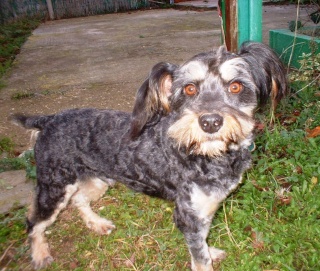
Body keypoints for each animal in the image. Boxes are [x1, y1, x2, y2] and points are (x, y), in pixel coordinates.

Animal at [11, 42, 288, 271]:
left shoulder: (205, 209)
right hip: (54, 186)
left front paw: (210, 250)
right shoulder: (189, 214)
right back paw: (39, 253)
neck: (207, 155)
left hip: (97, 179)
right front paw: (206, 256)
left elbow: (203, 243)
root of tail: (48, 119)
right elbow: (200, 258)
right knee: (33, 222)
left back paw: (97, 223)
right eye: (189, 89)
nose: (210, 122)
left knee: (79, 199)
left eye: (235, 86)